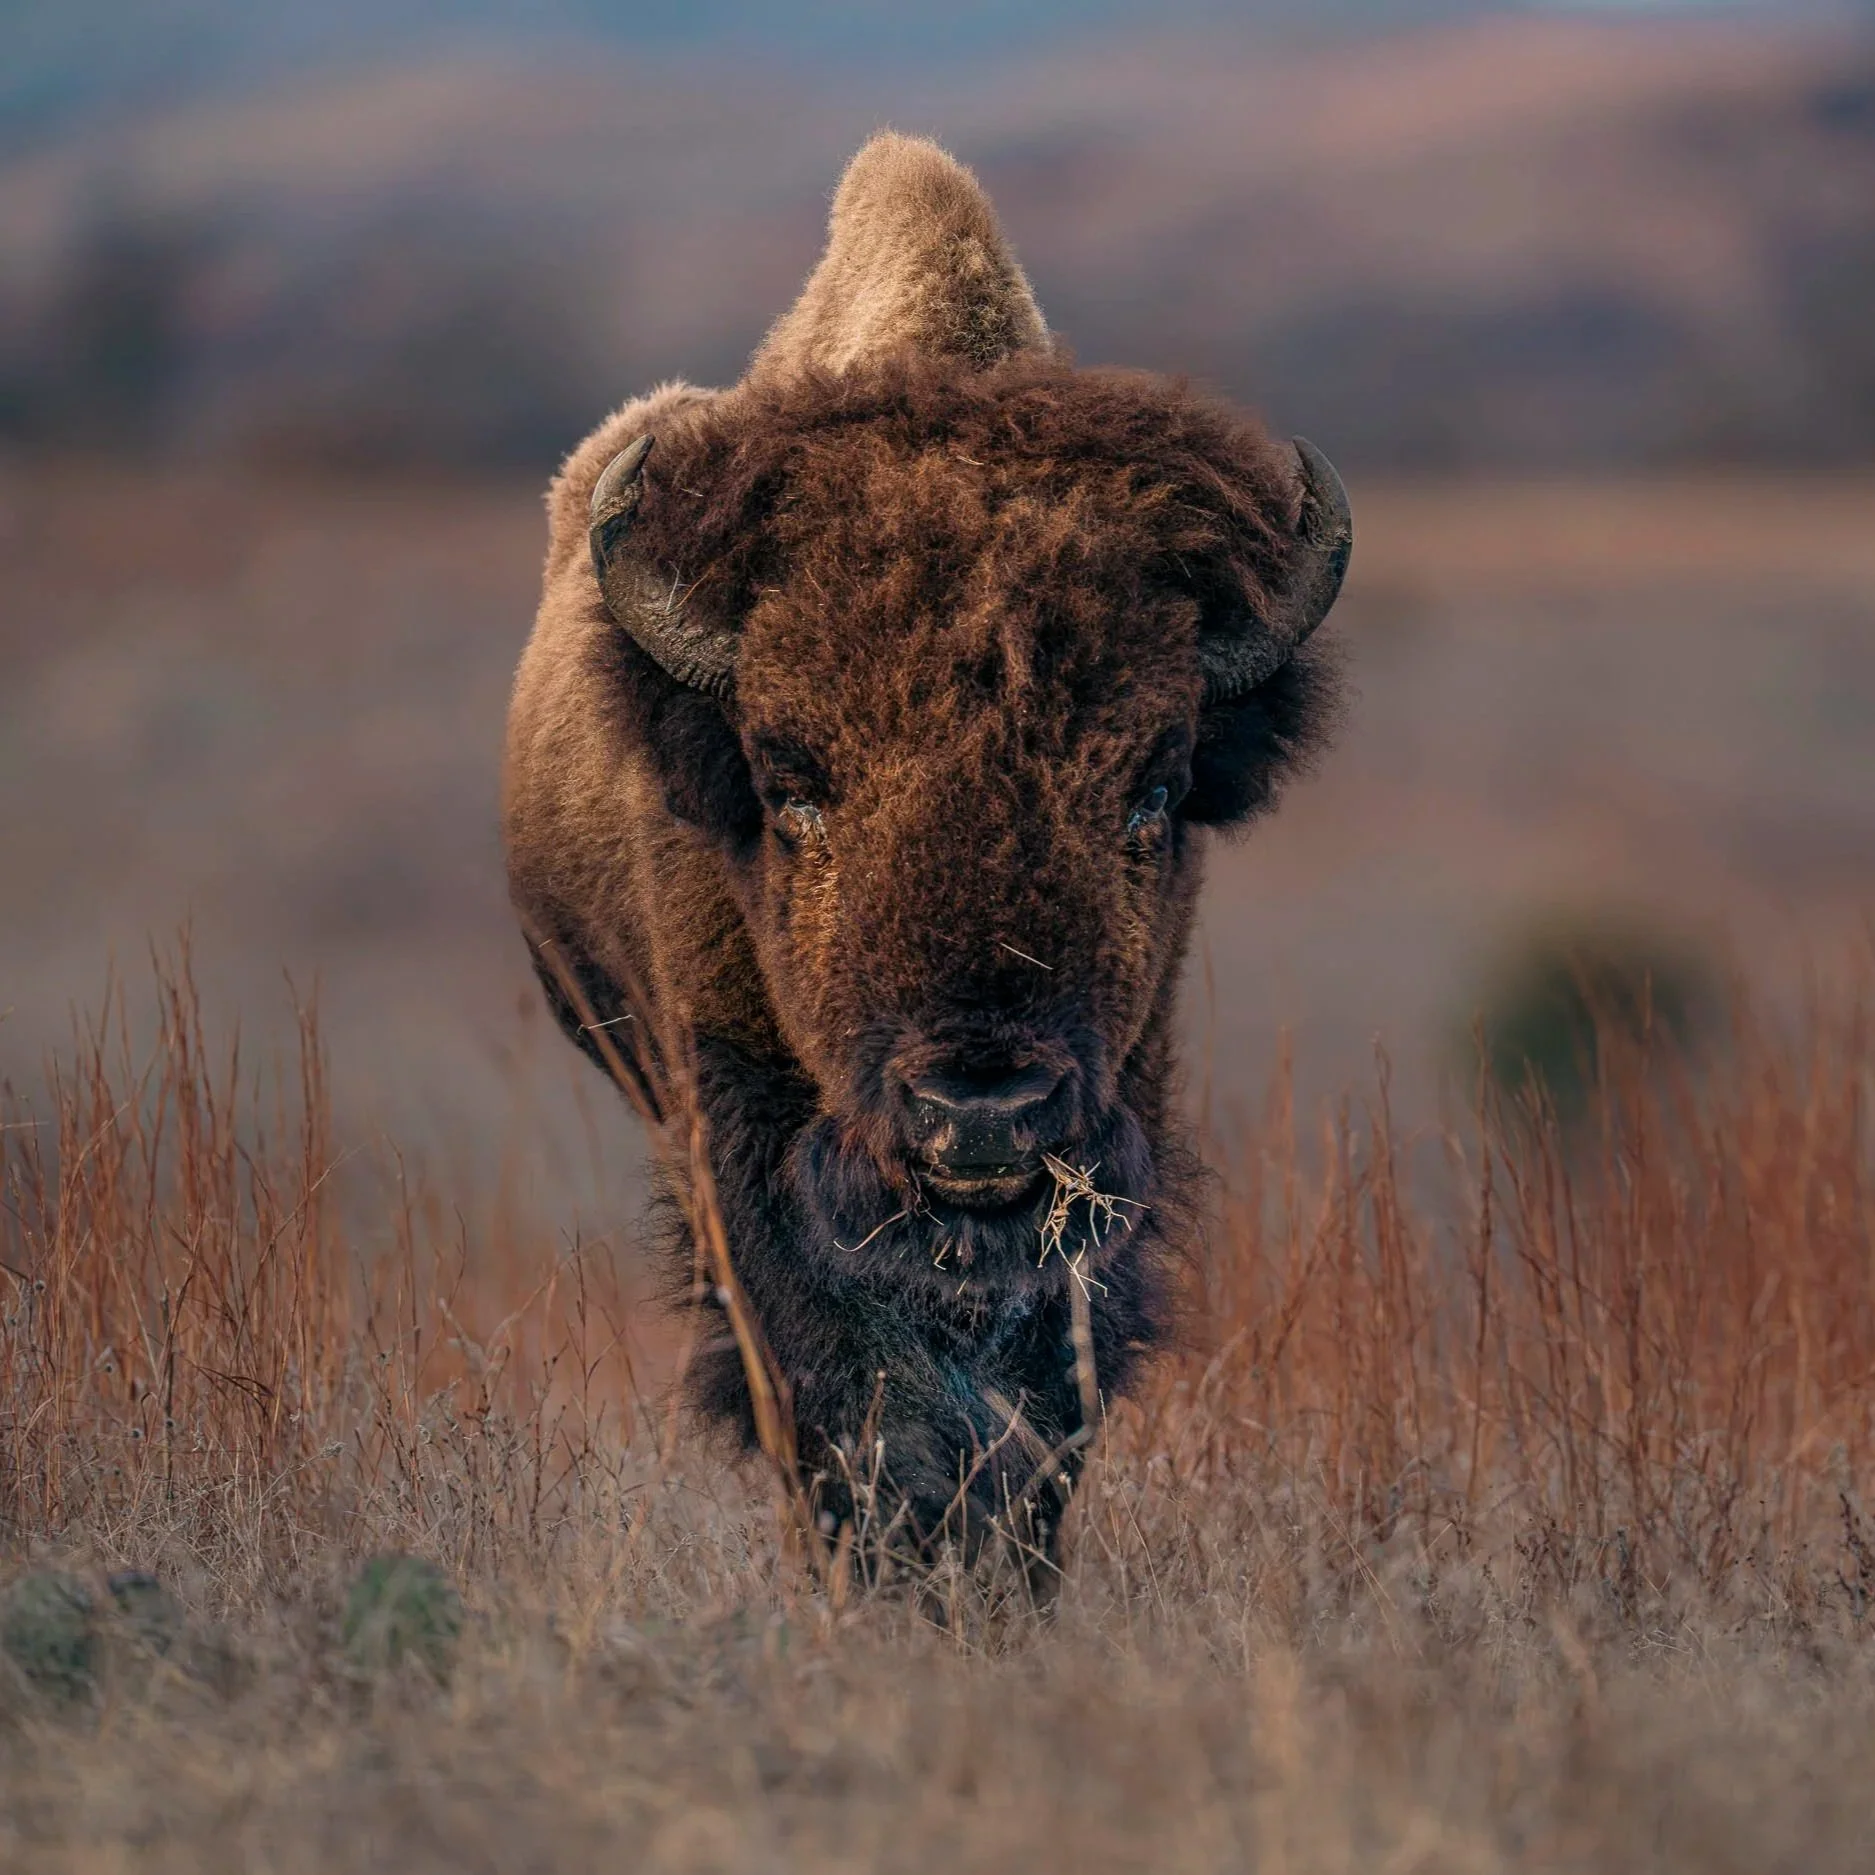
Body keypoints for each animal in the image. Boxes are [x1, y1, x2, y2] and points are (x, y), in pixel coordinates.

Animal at [503, 133, 1350, 1568]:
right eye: (789, 787)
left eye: (1153, 789)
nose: (980, 1109)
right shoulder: (742, 1137)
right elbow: (852, 1391)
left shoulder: (1116, 1120)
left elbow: (1040, 1401)